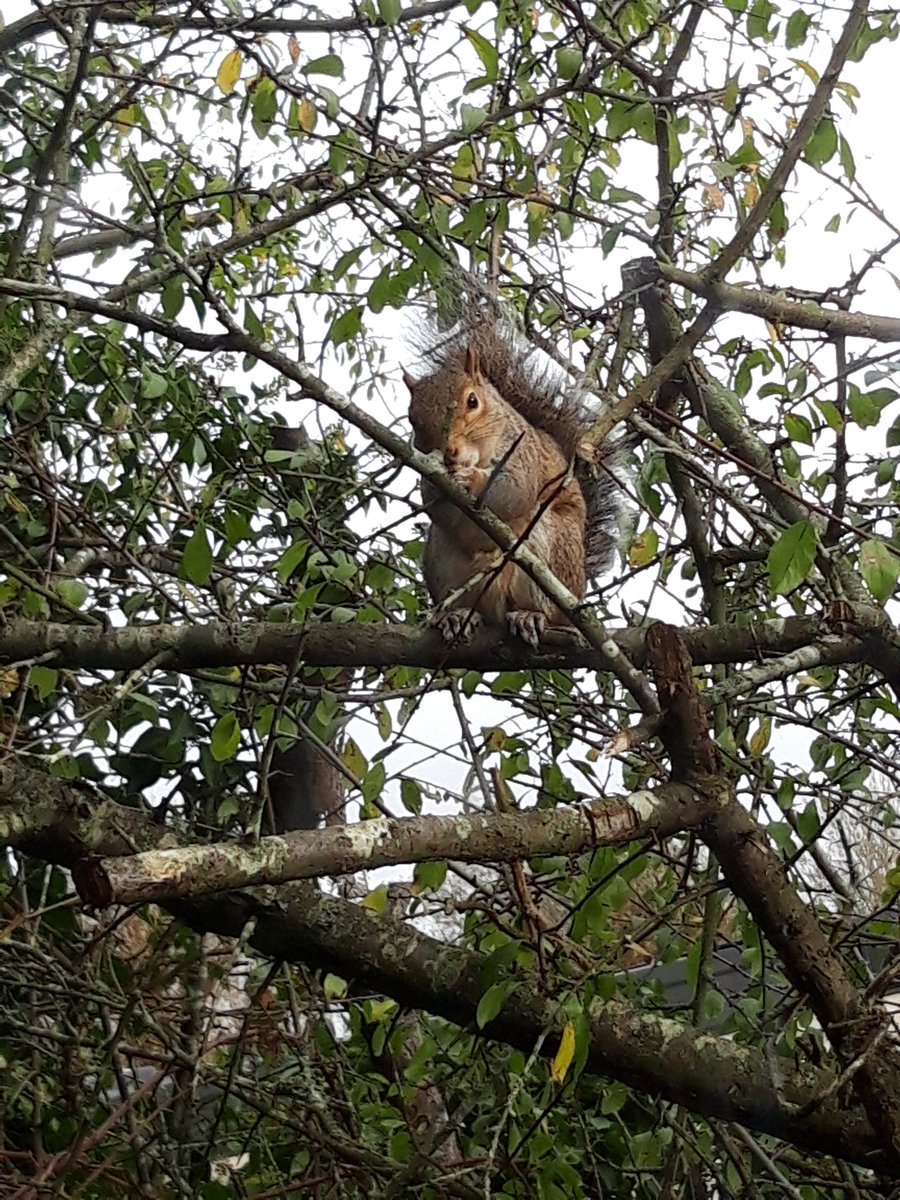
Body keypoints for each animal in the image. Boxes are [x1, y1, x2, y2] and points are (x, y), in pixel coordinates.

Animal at [404, 319, 620, 647]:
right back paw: (455, 616)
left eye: (472, 401)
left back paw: (530, 616)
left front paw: (472, 478)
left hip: (547, 552)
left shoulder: (523, 454)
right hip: (441, 562)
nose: (450, 452)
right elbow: (435, 504)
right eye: (412, 420)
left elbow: (513, 491)